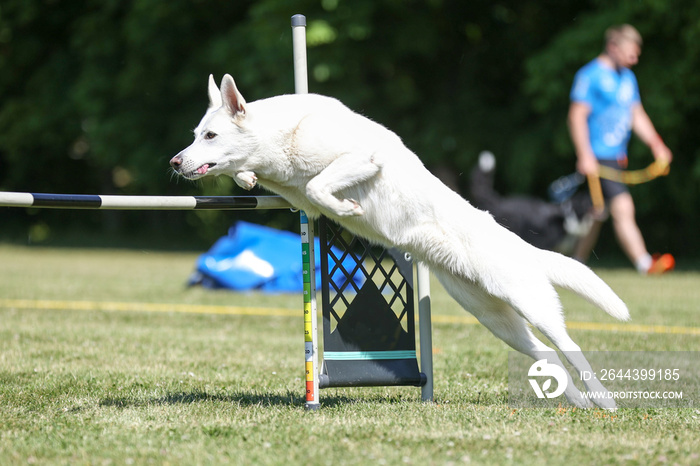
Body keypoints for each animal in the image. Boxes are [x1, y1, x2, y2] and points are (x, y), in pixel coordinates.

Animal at [171, 74, 628, 410]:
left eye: (210, 136)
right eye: (195, 134)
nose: (175, 161)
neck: (282, 136)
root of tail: (525, 248)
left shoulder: (362, 159)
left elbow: (320, 185)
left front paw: (349, 208)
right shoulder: (297, 197)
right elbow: (269, 182)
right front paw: (248, 178)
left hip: (528, 302)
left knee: (568, 345)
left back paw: (604, 402)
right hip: (493, 317)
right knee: (543, 354)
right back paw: (575, 402)